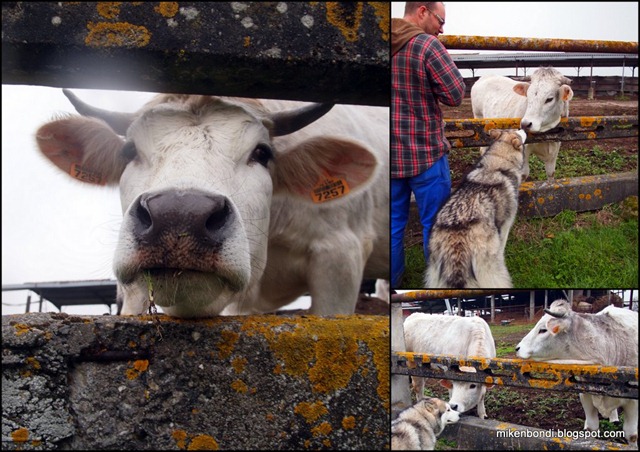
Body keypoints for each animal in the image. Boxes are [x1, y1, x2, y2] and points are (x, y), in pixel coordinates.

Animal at [516, 299, 638, 447]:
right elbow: (591, 428)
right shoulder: (585, 394)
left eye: (543, 330)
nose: (517, 348)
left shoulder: (633, 400)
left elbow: (632, 435)